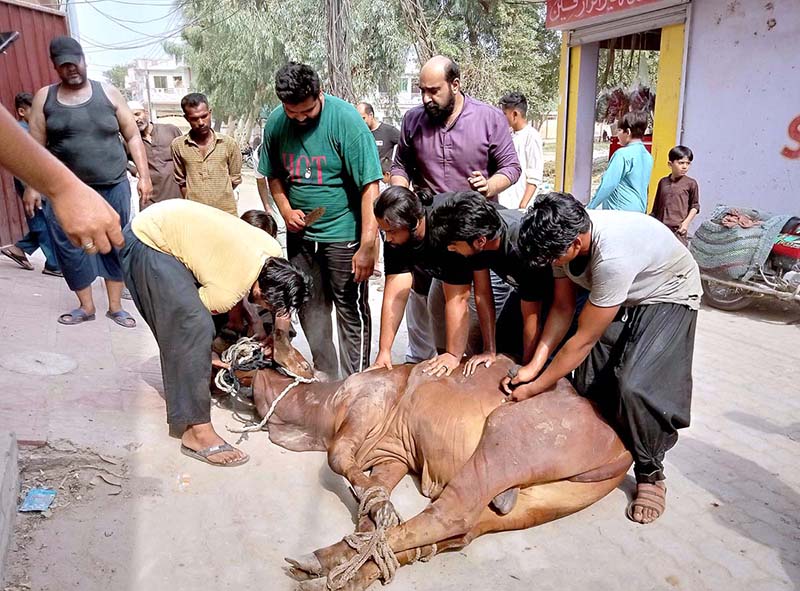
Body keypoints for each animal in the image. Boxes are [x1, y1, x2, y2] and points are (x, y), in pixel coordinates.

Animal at [231, 338, 632, 591]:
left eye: (256, 352)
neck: (319, 406)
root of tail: (622, 446)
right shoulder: (392, 455)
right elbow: (372, 499)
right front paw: (372, 524)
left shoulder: (365, 407)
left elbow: (338, 458)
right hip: (544, 499)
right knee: (466, 528)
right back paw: (343, 567)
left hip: (509, 433)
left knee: (453, 512)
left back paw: (319, 564)